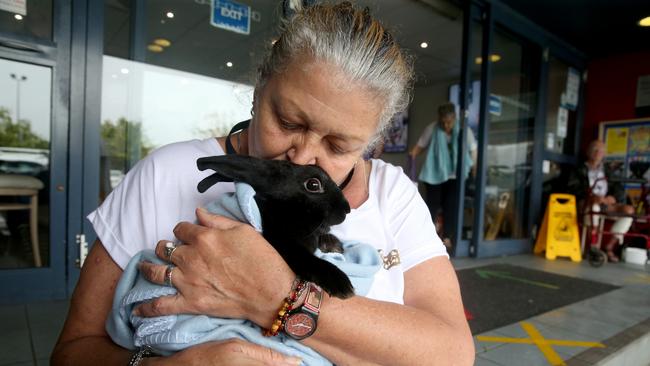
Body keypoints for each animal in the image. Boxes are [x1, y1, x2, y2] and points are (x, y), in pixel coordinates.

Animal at [195, 153, 352, 298]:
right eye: (313, 185)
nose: (347, 209)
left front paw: (334, 246)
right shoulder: (282, 243)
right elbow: (306, 259)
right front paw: (342, 285)